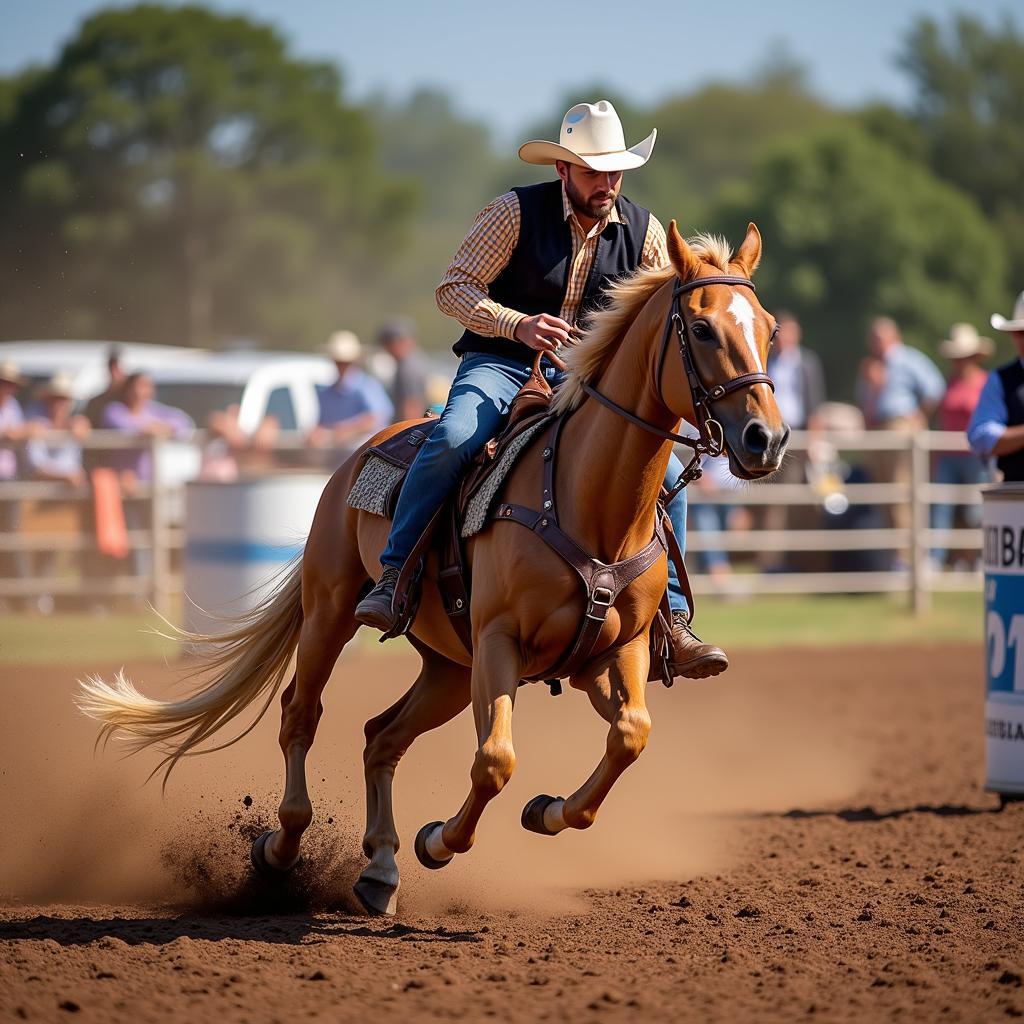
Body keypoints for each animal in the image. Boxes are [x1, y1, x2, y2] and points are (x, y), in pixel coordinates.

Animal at [79, 220, 786, 917]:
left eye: (769, 328)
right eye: (701, 328)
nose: (767, 439)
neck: (584, 498)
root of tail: (362, 450)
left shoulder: (620, 649)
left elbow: (630, 735)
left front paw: (546, 811)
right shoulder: (500, 641)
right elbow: (495, 760)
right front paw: (440, 841)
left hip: (448, 666)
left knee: (381, 736)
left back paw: (380, 868)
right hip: (332, 612)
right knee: (301, 714)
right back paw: (282, 848)